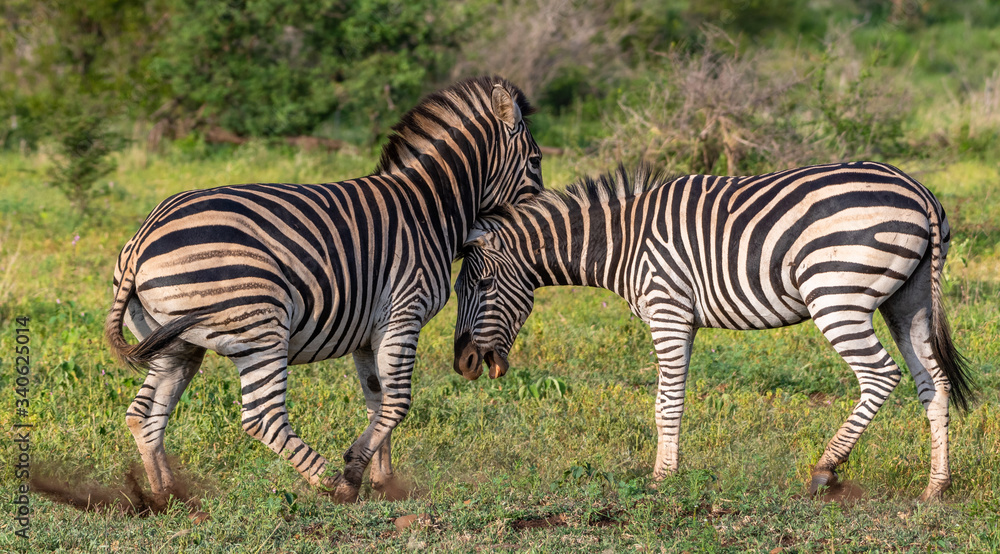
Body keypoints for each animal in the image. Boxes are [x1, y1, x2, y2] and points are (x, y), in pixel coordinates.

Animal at [104, 76, 544, 506]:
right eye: (537, 162)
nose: (543, 211)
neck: (429, 209)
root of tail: (143, 237)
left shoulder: (370, 331)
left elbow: (376, 402)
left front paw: (384, 480)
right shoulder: (405, 311)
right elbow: (398, 402)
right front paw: (353, 474)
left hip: (174, 343)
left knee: (143, 414)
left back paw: (167, 495)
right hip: (261, 324)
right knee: (263, 417)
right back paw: (328, 482)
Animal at [453, 162, 974, 501]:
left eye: (480, 284)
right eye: (460, 288)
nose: (464, 364)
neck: (621, 241)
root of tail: (918, 191)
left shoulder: (667, 309)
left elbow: (665, 403)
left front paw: (662, 479)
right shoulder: (683, 318)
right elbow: (673, 401)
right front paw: (669, 470)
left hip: (836, 293)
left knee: (881, 375)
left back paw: (824, 470)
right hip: (909, 300)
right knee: (934, 384)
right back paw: (935, 487)